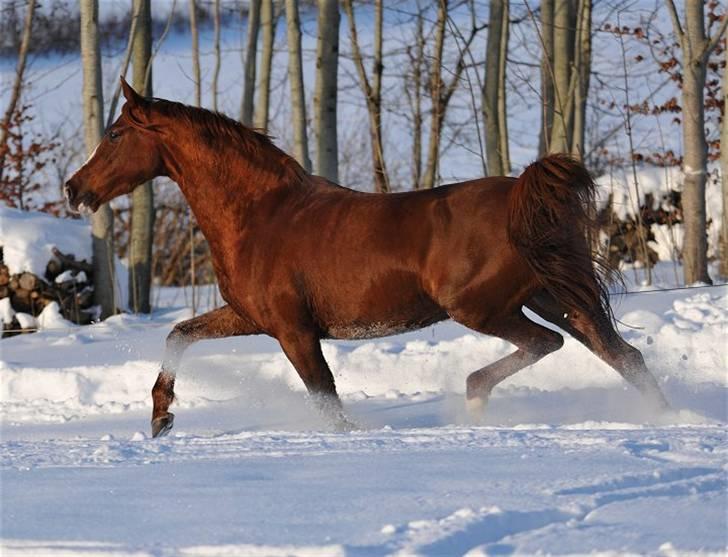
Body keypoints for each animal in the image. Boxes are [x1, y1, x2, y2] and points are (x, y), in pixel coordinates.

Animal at [65, 79, 668, 434]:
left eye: (115, 133)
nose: (74, 190)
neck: (260, 215)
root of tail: (525, 195)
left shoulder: (293, 331)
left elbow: (327, 400)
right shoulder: (250, 317)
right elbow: (178, 336)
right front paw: (161, 417)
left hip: (484, 308)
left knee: (550, 345)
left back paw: (474, 400)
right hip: (552, 295)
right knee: (623, 356)